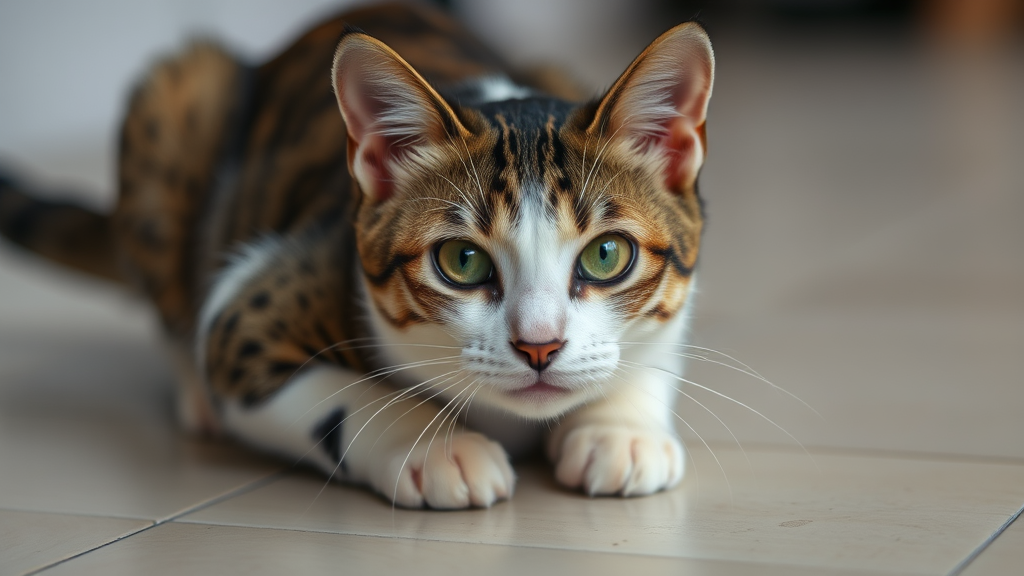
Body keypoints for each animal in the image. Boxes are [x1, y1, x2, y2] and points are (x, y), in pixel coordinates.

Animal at [0, 3, 716, 506]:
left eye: (606, 255)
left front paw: (620, 429)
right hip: (179, 97)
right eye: (461, 262)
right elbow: (319, 385)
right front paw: (436, 446)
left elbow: (659, 339)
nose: (539, 347)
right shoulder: (252, 303)